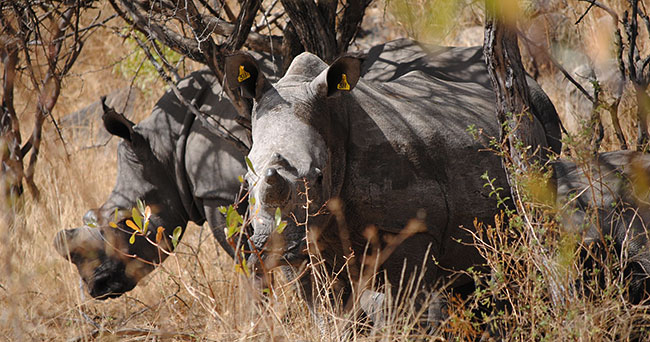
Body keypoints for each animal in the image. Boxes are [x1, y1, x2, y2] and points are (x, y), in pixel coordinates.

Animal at [225, 38, 560, 308]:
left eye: (319, 177)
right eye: (247, 180)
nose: (270, 247)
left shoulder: (408, 229)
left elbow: (404, 305)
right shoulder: (301, 243)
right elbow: (323, 307)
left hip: (532, 127)